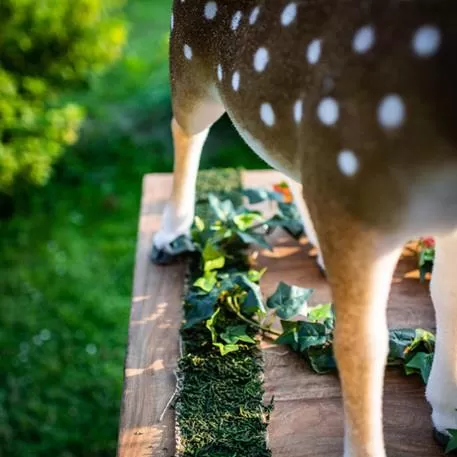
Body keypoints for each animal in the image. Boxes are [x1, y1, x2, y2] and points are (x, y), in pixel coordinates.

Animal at [152, 0, 456, 456]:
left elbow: (448, 297)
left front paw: (448, 417)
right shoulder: (353, 190)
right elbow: (360, 346)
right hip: (189, 56)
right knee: (186, 128)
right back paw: (169, 237)